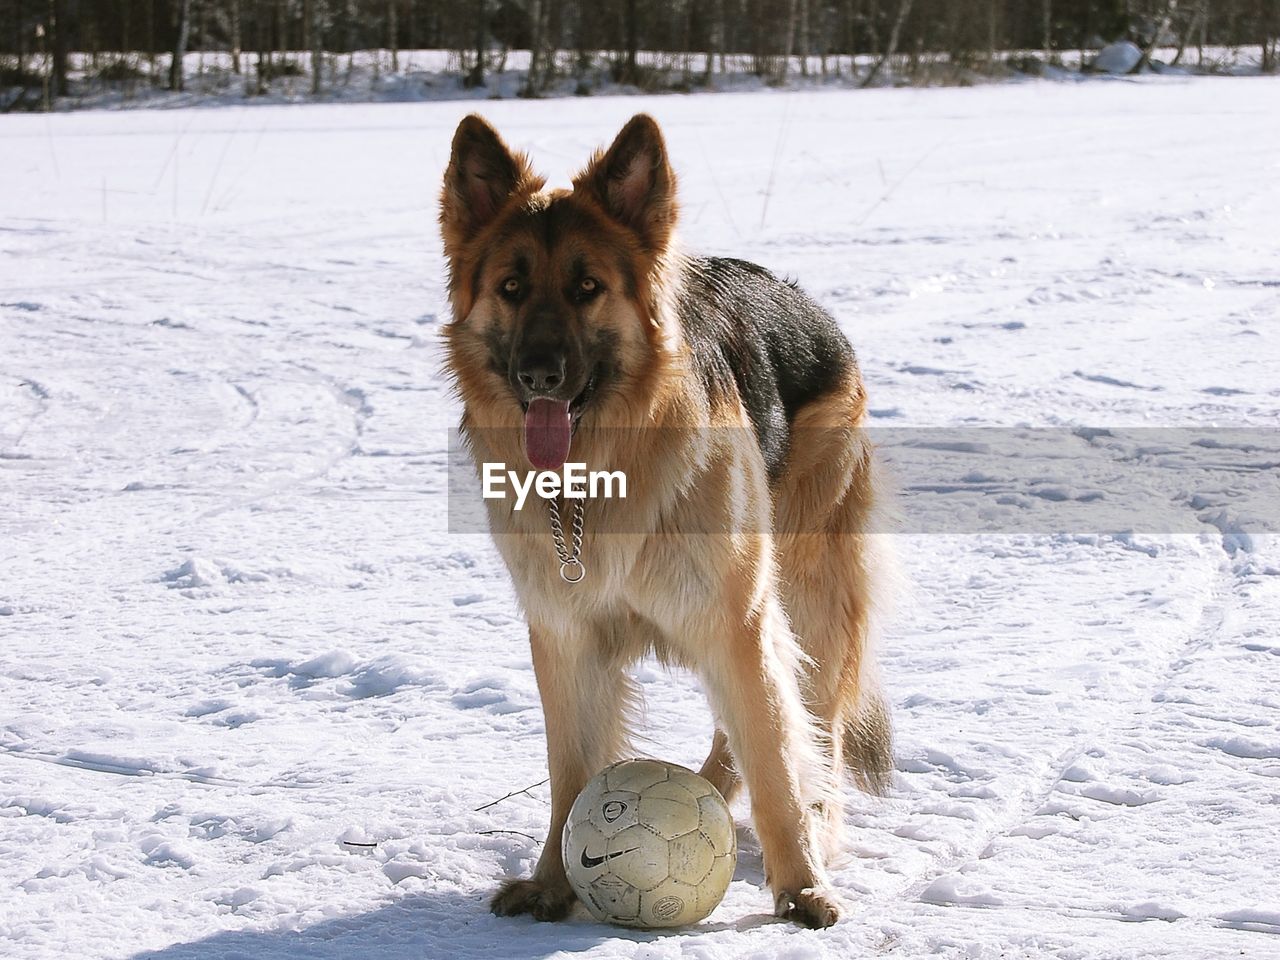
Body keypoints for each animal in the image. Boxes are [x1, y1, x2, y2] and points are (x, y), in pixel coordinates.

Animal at [440, 112, 890, 931]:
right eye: (511, 288)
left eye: (587, 287)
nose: (539, 375)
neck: (596, 478)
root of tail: (805, 302)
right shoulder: (566, 635)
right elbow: (571, 769)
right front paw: (553, 879)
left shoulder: (737, 620)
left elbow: (776, 757)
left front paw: (801, 885)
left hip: (807, 591)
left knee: (815, 725)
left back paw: (816, 823)